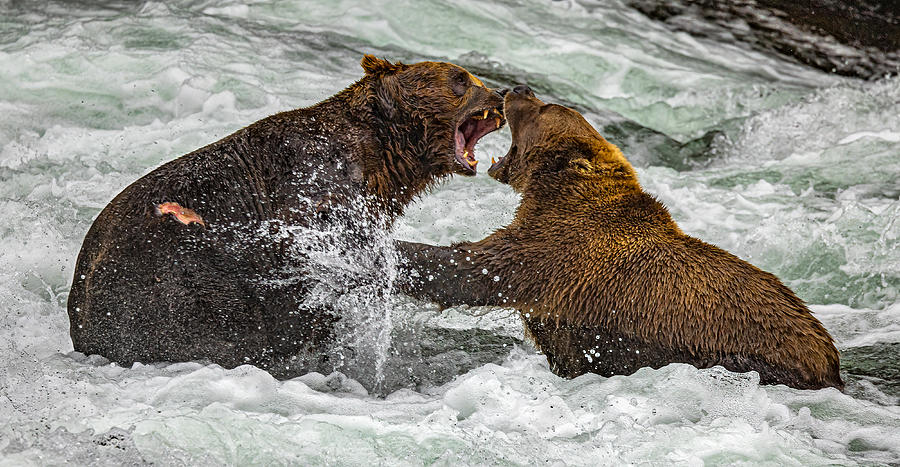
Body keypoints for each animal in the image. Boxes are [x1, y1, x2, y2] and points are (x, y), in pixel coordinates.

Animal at [68, 55, 506, 376]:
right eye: (462, 79)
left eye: (474, 79)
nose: (501, 94)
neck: (383, 157)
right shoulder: (312, 180)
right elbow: (316, 249)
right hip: (167, 283)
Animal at [398, 85, 840, 392]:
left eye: (545, 109)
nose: (519, 88)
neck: (557, 190)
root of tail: (830, 362)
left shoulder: (558, 251)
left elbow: (474, 269)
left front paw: (395, 250)